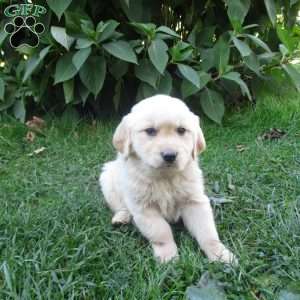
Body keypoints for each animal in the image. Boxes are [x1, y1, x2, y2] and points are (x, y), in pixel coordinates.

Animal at [99, 95, 236, 264]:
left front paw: (220, 254)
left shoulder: (194, 201)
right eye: (150, 131)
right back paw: (121, 217)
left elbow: (207, 232)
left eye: (181, 130)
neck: (165, 177)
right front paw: (168, 257)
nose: (169, 155)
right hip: (107, 178)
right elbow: (161, 232)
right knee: (120, 206)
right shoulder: (145, 208)